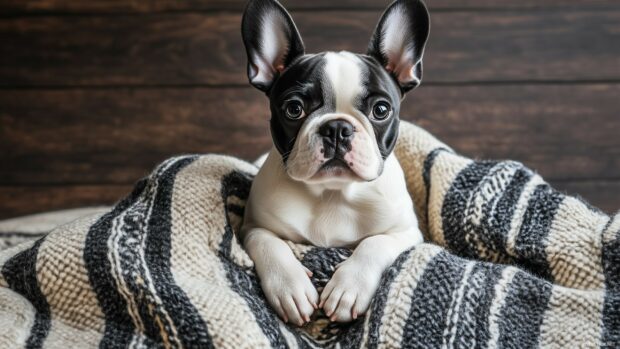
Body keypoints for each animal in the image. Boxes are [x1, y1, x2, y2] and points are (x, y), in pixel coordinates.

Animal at [240, 0, 428, 324]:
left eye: (381, 110)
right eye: (294, 109)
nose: (337, 128)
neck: (332, 191)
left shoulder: (406, 232)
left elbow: (374, 243)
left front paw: (348, 288)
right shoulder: (254, 227)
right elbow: (270, 244)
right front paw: (290, 287)